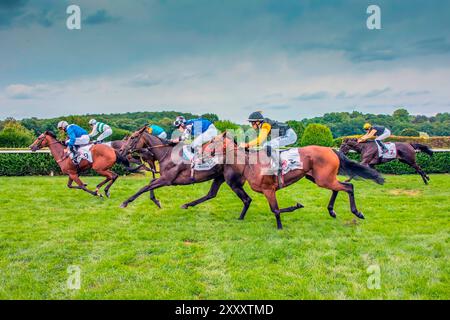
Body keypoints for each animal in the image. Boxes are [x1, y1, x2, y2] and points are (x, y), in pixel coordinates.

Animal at [118, 125, 251, 215]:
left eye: (133, 137)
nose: (121, 150)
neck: (167, 154)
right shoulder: (164, 178)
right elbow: (150, 183)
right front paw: (156, 201)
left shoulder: (166, 180)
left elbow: (144, 187)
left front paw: (125, 202)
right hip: (219, 177)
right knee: (211, 194)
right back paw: (187, 205)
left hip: (232, 181)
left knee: (246, 199)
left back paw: (240, 217)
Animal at [204, 132, 384, 230]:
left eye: (212, 141)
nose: (201, 150)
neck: (250, 163)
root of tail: (331, 149)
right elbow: (276, 209)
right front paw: (295, 208)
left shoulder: (269, 190)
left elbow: (275, 210)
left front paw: (281, 225)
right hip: (320, 178)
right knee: (338, 188)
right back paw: (331, 211)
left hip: (323, 179)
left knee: (349, 186)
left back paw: (357, 212)